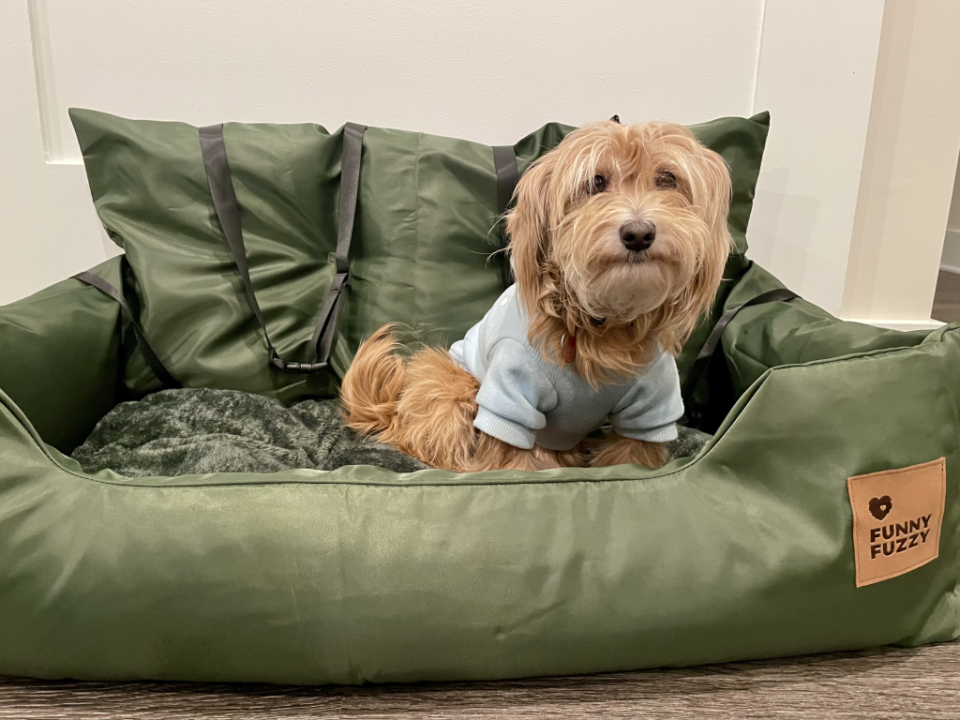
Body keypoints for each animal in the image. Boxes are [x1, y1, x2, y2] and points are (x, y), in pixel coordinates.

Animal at [342, 119, 732, 472]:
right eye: (595, 183)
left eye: (668, 179)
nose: (638, 233)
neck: (602, 321)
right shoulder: (511, 396)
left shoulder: (651, 405)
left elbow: (632, 458)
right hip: (449, 384)